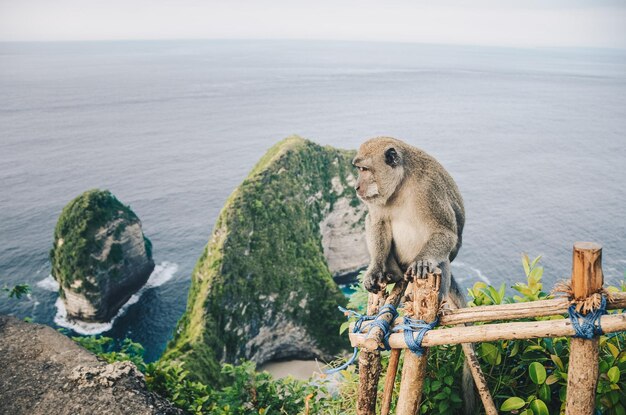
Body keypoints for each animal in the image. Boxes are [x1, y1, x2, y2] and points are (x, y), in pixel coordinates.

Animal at [354, 137, 476, 415]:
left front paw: (422, 262)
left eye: (363, 169)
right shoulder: (378, 200)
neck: (401, 185)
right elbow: (377, 222)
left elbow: (447, 233)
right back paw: (389, 273)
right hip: (398, 265)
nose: (356, 186)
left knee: (441, 260)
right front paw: (374, 270)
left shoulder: (429, 190)